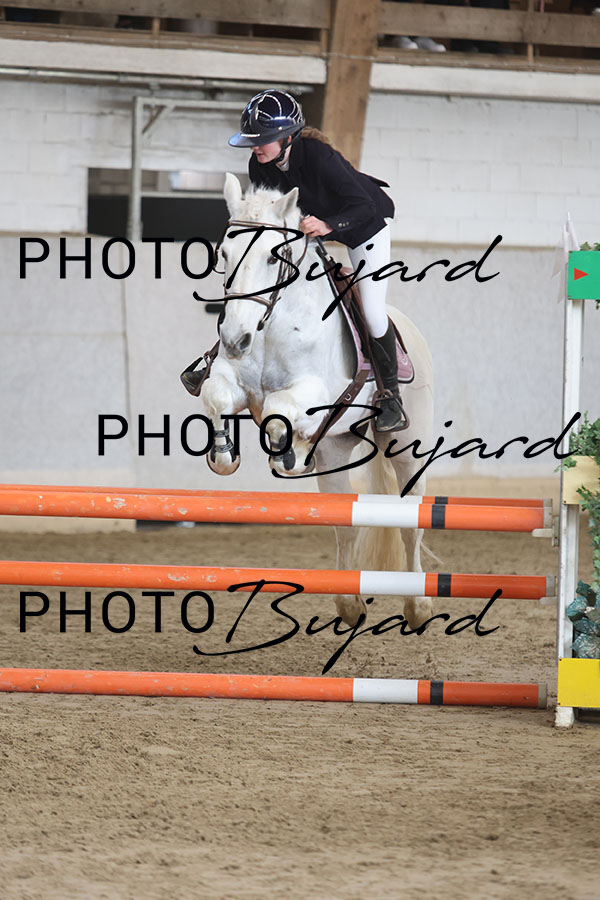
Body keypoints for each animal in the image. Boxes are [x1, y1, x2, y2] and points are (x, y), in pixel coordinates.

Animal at [198, 172, 434, 629]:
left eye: (272, 258)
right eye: (224, 254)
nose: (234, 340)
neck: (270, 323)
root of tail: (412, 332)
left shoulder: (313, 392)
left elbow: (277, 413)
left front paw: (285, 455)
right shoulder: (233, 381)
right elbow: (214, 396)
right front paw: (224, 456)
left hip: (406, 446)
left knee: (410, 520)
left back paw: (418, 607)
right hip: (336, 450)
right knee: (345, 524)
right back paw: (350, 604)